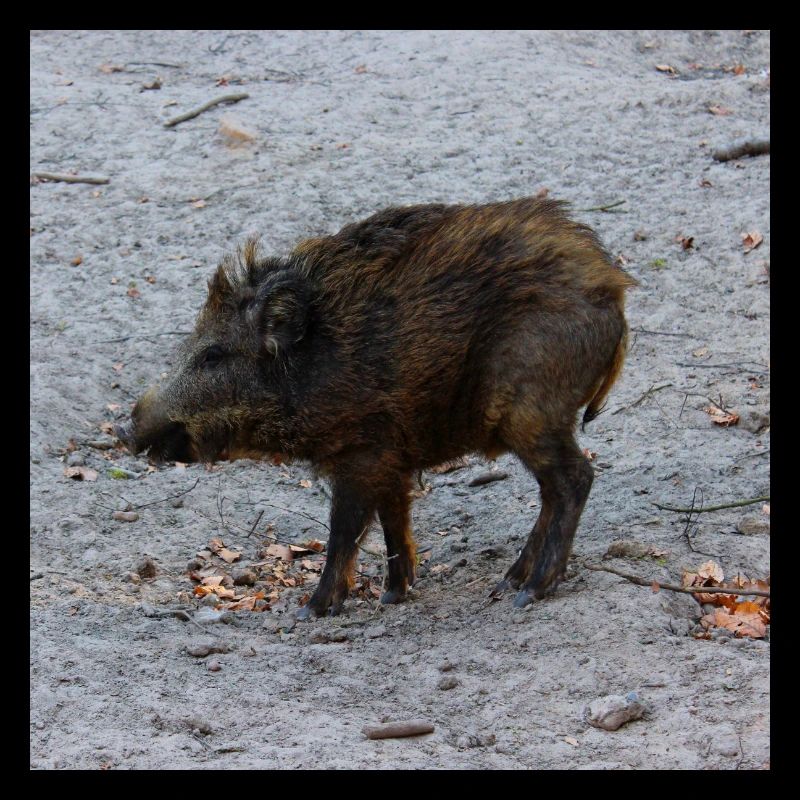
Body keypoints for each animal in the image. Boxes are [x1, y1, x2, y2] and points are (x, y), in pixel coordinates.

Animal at [116, 198, 636, 617]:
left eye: (213, 355)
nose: (126, 430)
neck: (310, 366)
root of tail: (614, 294)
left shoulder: (363, 453)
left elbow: (345, 530)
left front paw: (312, 610)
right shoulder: (392, 459)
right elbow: (393, 521)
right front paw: (394, 594)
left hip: (532, 412)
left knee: (574, 480)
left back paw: (531, 592)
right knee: (552, 490)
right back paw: (508, 582)